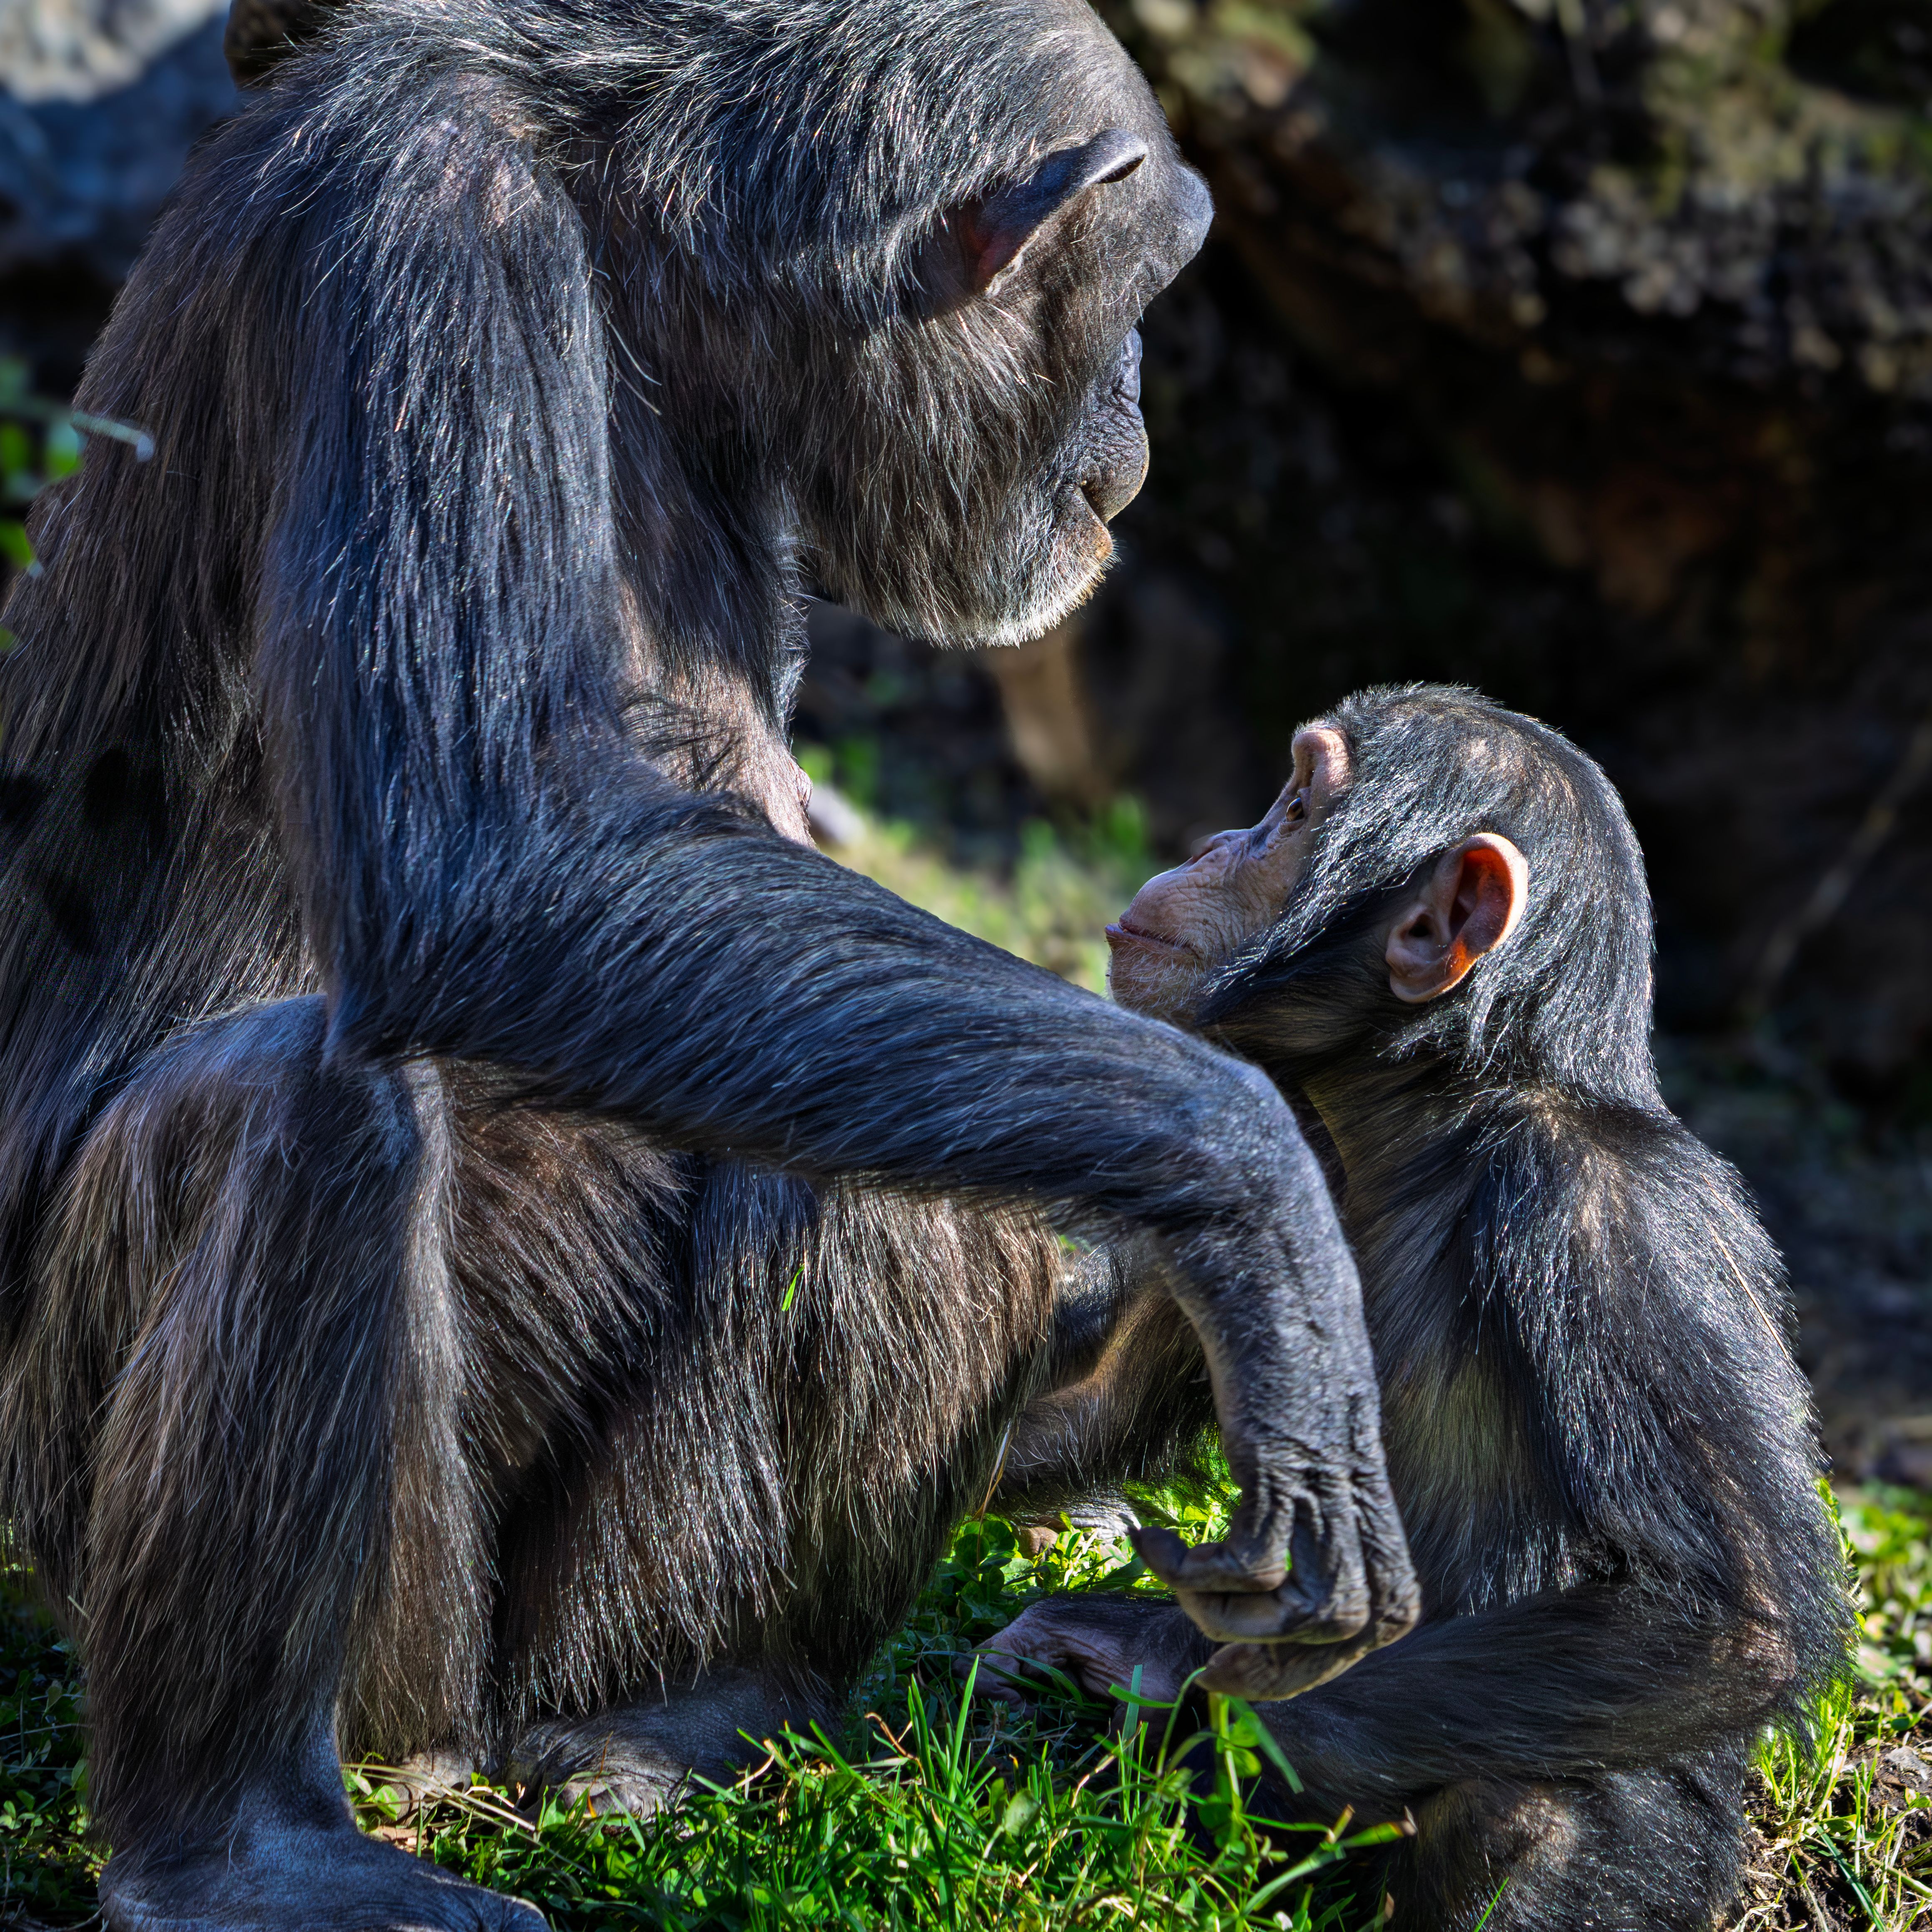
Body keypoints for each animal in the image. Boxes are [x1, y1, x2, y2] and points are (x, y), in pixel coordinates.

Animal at [0, 4, 1422, 1927]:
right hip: (204, 1562)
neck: (638, 261)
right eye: (1140, 293)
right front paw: (1262, 1207)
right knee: (301, 1104)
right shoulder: (418, 222)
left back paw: (678, 1719)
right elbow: (487, 861)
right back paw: (245, 1842)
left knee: (891, 1147)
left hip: (538, 1647)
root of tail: (465, 1739)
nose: (1140, 418)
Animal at [979, 685, 1852, 1931]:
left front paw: (1178, 1684)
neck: (1417, 1120)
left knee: (1529, 1807)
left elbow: (1723, 1619)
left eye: (1297, 807)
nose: (1213, 839)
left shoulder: (1611, 1217)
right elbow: (1092, 1405)